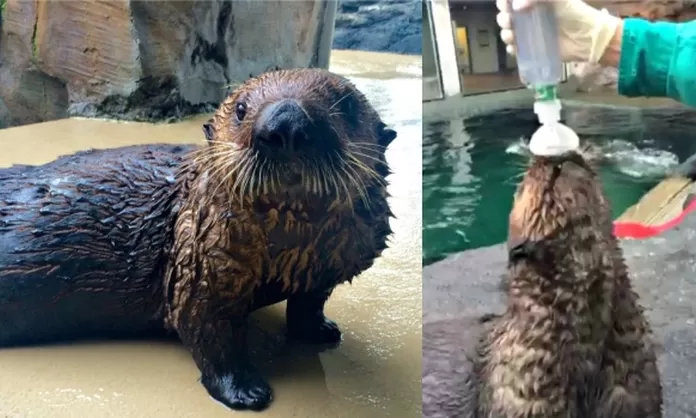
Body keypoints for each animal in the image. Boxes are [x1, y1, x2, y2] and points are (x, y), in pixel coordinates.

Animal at [0, 68, 396, 412]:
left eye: (345, 105)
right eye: (241, 109)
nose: (286, 123)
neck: (292, 251)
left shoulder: (329, 264)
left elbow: (309, 302)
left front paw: (321, 330)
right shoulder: (200, 261)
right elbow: (209, 329)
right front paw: (244, 391)